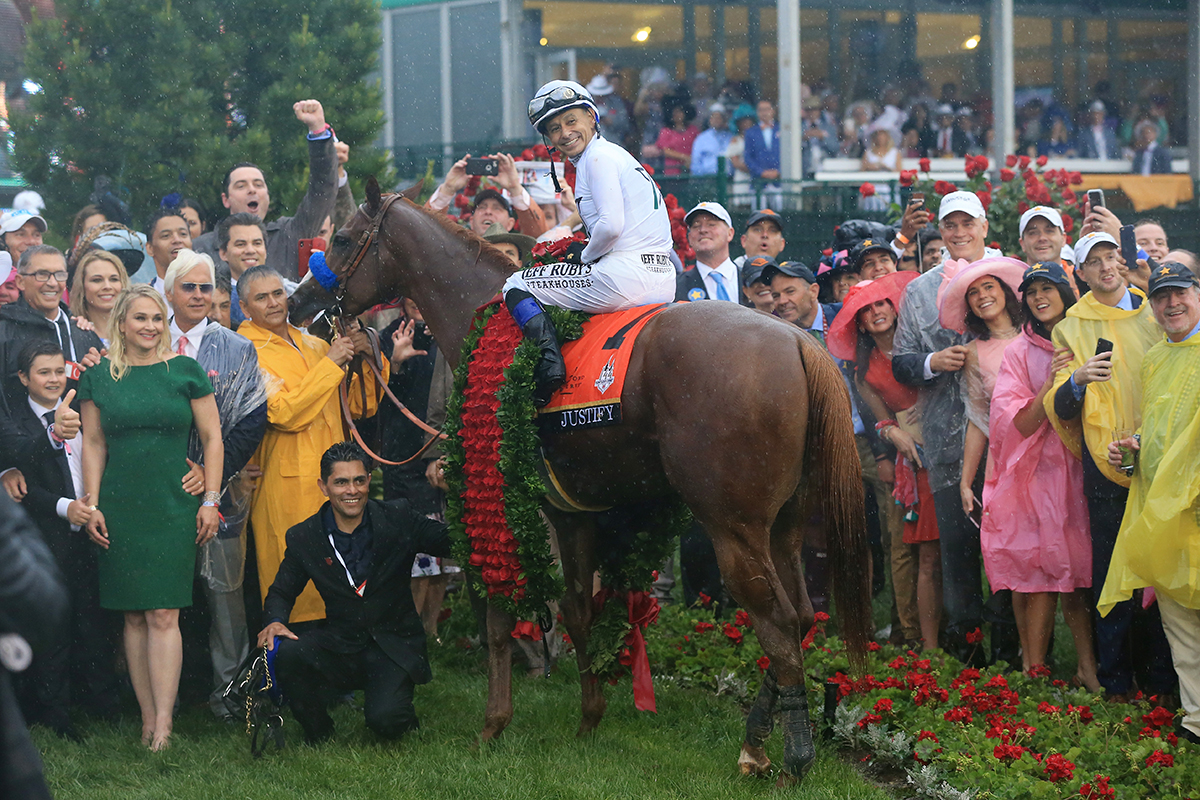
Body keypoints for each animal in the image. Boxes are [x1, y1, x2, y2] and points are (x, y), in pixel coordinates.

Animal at [290, 179, 873, 782]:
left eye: (342, 237)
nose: (298, 303)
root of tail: (798, 342)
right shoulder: (574, 511)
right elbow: (578, 609)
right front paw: (589, 717)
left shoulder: (497, 498)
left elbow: (499, 614)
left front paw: (493, 724)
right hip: (786, 522)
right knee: (801, 616)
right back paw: (758, 741)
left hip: (732, 525)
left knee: (775, 620)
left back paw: (790, 754)